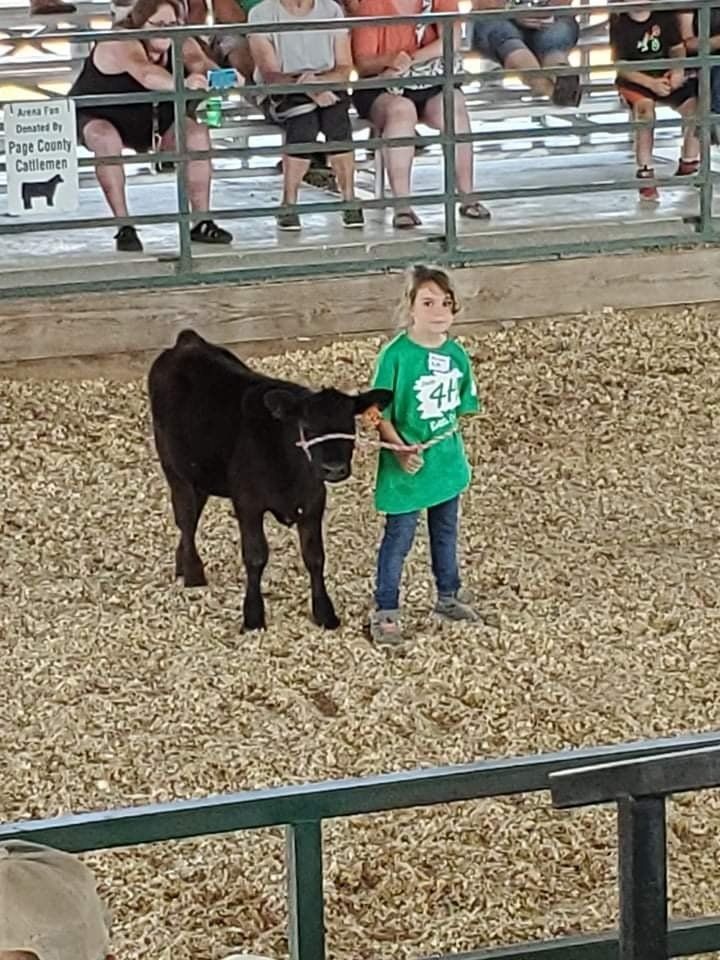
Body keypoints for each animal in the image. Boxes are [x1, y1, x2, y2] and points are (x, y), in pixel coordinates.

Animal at [148, 329, 392, 631]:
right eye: (307, 427)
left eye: (349, 426)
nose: (333, 469)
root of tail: (187, 341)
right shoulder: (248, 503)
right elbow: (255, 557)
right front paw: (253, 616)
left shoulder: (313, 501)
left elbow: (315, 557)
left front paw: (324, 613)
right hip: (175, 470)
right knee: (185, 519)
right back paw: (193, 574)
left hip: (201, 475)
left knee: (190, 519)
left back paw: (182, 566)